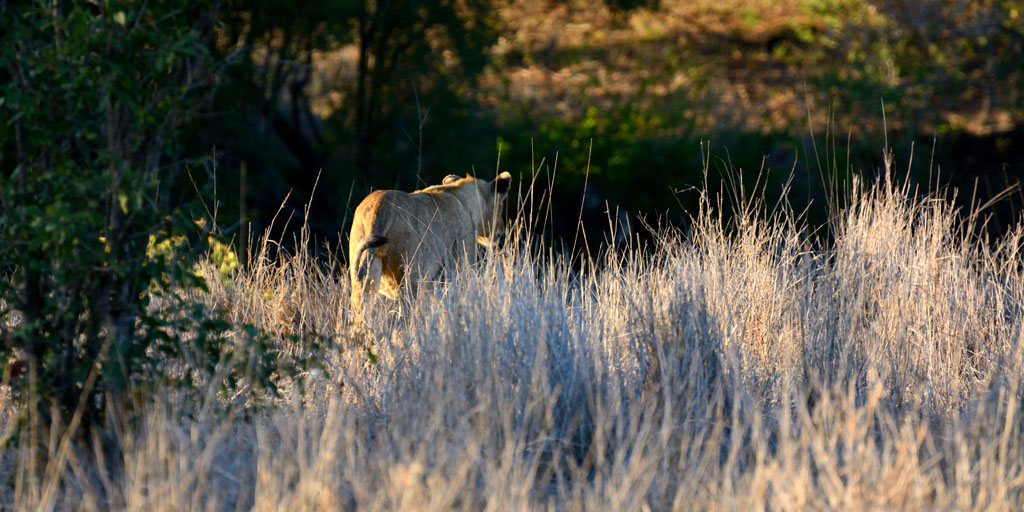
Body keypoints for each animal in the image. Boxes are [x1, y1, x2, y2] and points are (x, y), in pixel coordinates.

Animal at [348, 171, 512, 321]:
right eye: (501, 204)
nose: (501, 231)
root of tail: (379, 209)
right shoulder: (461, 265)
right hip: (411, 278)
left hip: (363, 279)